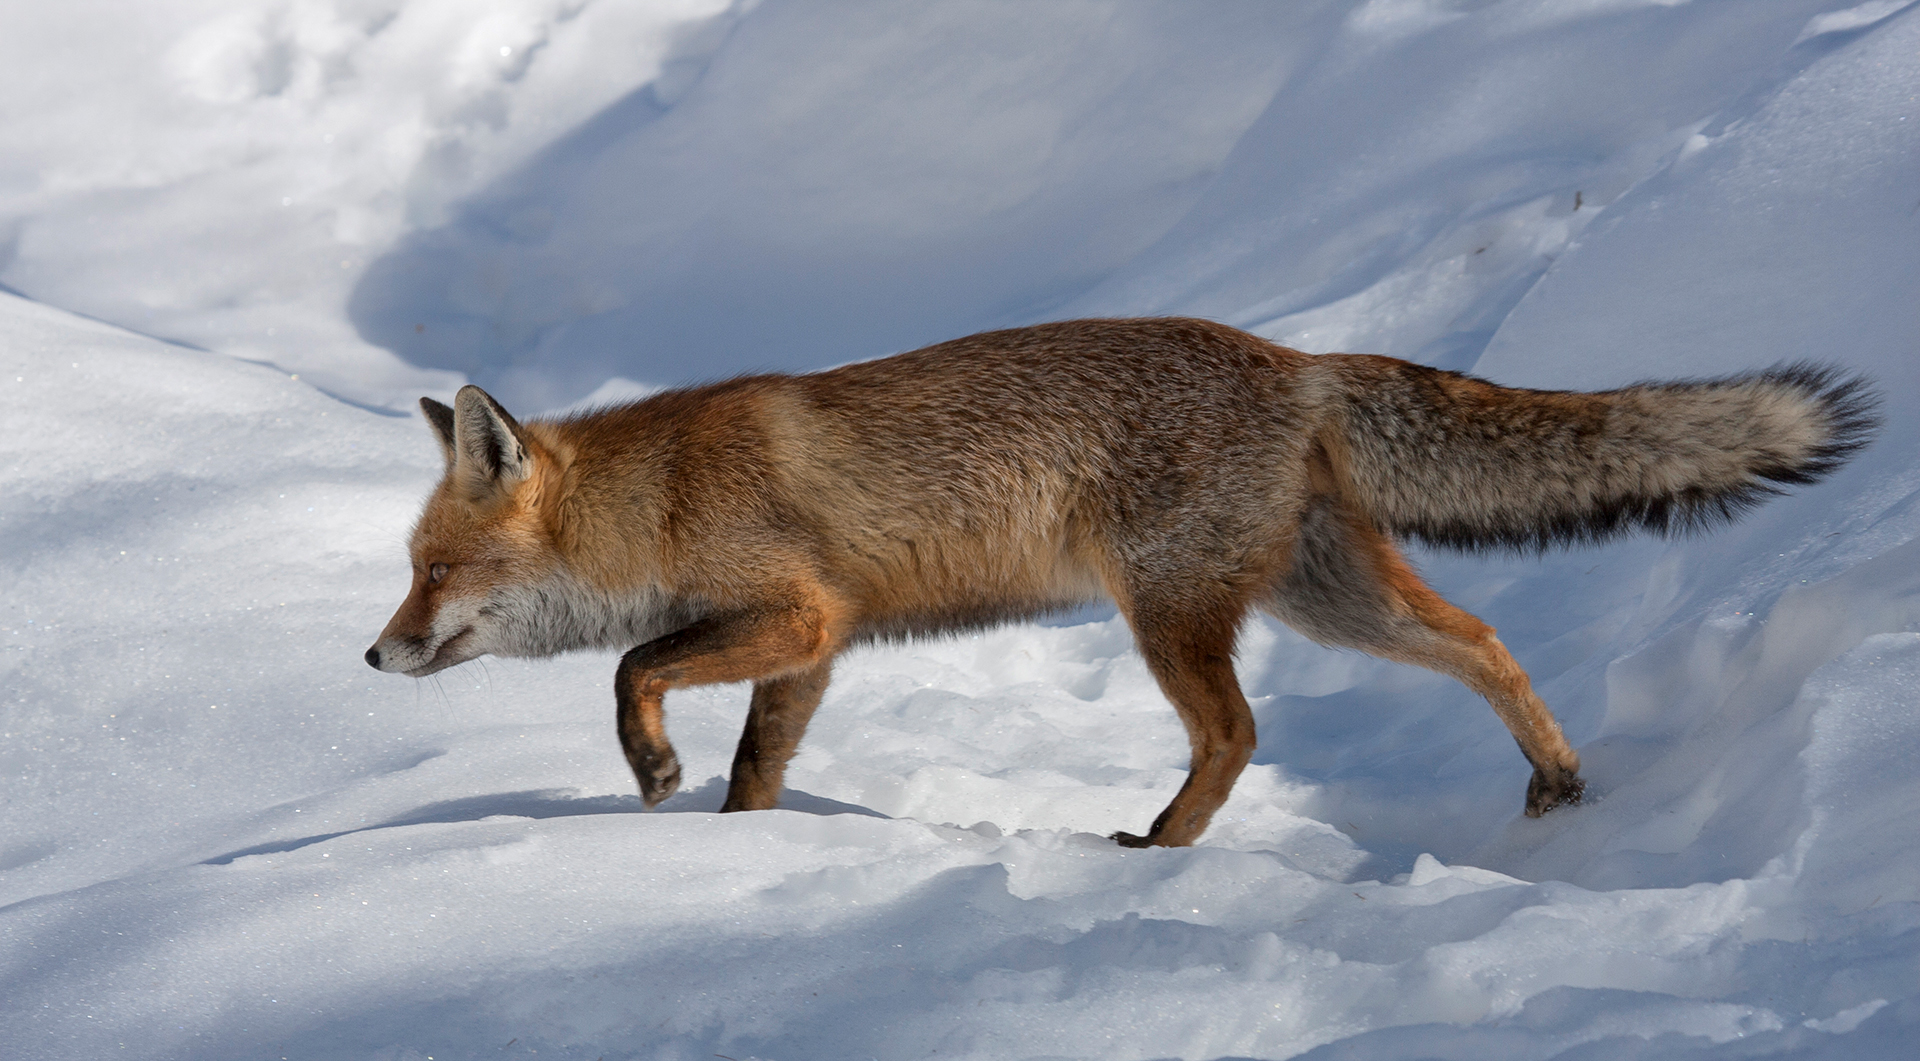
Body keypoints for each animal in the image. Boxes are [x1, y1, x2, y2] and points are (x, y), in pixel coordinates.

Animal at [366, 317, 1877, 847]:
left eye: (432, 571)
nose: (373, 658)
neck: (664, 499)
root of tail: (1296, 358)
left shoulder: (794, 614)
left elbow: (634, 670)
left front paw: (652, 778)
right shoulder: (815, 647)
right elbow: (757, 773)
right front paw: (733, 851)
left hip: (1171, 613)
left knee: (1240, 733)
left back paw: (1158, 845)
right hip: (1328, 598)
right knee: (1484, 638)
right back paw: (1559, 784)